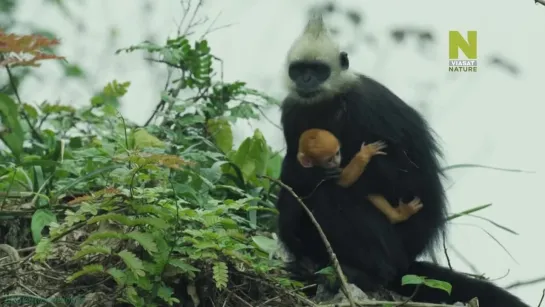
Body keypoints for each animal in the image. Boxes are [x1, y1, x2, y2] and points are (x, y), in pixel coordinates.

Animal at [276, 13, 528, 306]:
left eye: (317, 70)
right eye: (298, 70)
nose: (306, 80)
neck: (328, 102)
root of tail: (408, 260)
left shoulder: (368, 106)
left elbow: (405, 176)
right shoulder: (292, 110)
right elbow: (294, 170)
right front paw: (309, 173)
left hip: (396, 247)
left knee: (332, 196)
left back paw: (365, 273)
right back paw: (308, 264)